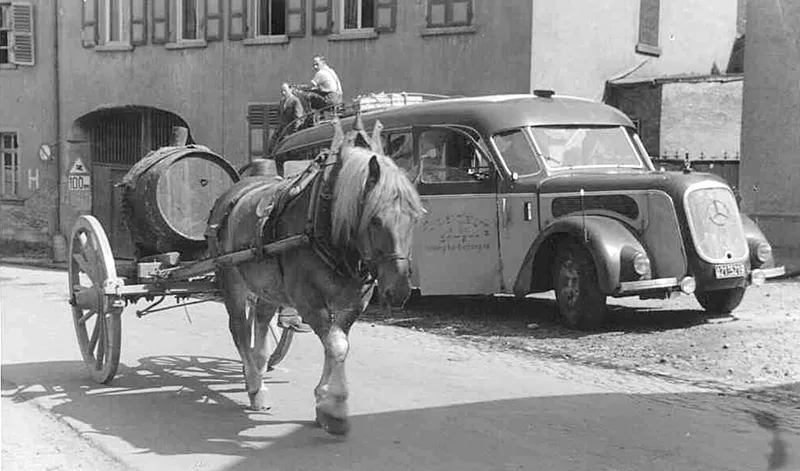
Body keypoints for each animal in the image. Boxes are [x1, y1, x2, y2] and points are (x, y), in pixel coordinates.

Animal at [212, 117, 424, 436]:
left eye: (415, 217)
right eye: (375, 220)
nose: (398, 290)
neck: (328, 225)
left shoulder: (354, 304)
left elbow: (338, 343)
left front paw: (324, 401)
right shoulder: (308, 300)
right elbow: (335, 344)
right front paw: (334, 407)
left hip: (268, 286)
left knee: (259, 322)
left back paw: (259, 369)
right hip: (232, 279)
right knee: (238, 328)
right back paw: (255, 386)